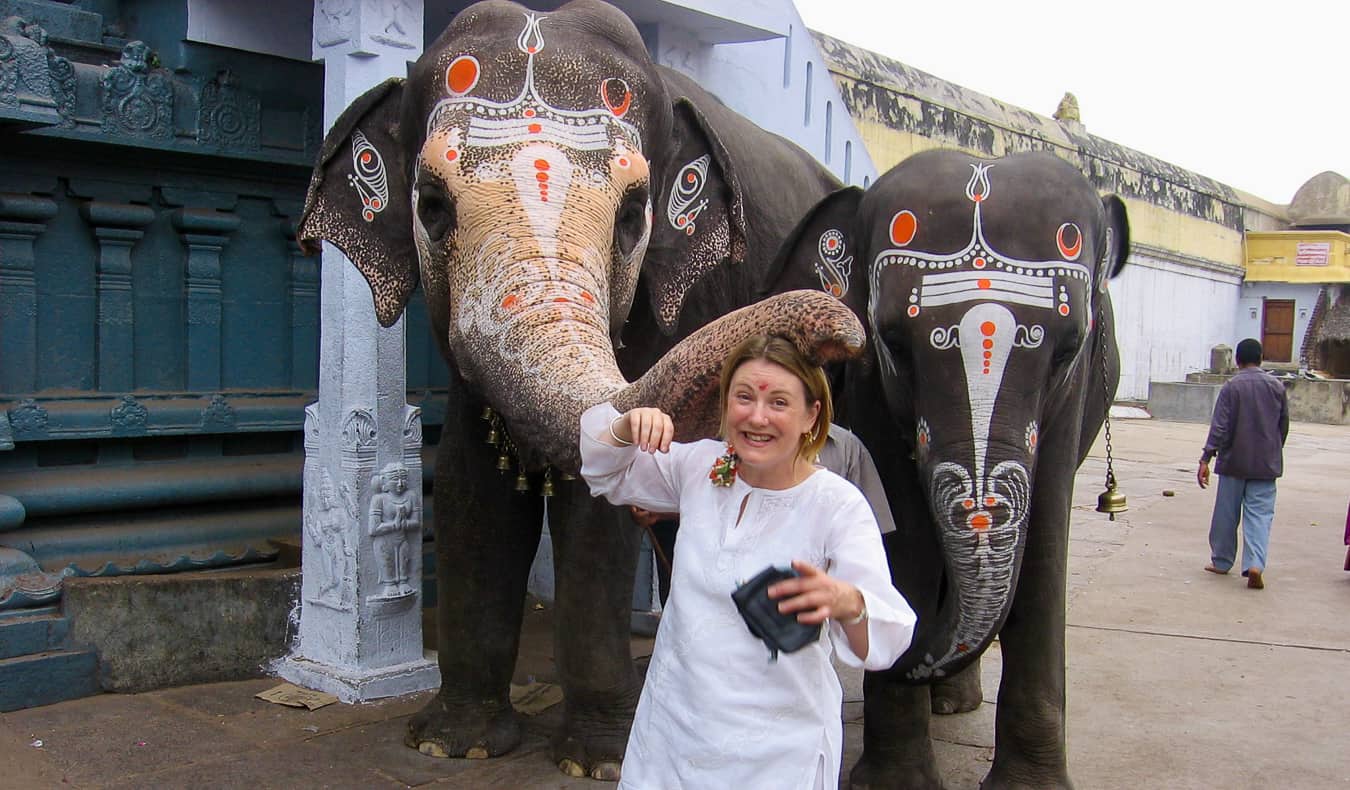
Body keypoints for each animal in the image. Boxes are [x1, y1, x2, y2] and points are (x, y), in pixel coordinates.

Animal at [301, 0, 858, 777]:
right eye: (433, 206)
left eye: (632, 217)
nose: (841, 328)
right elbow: (470, 484)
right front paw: (454, 743)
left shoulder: (675, 301)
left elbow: (598, 513)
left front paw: (597, 760)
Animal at [766, 151, 1134, 783]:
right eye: (892, 341)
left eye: (1067, 348)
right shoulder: (870, 383)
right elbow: (903, 528)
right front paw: (896, 784)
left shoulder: (1074, 394)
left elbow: (1045, 536)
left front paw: (1030, 787)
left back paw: (956, 704)